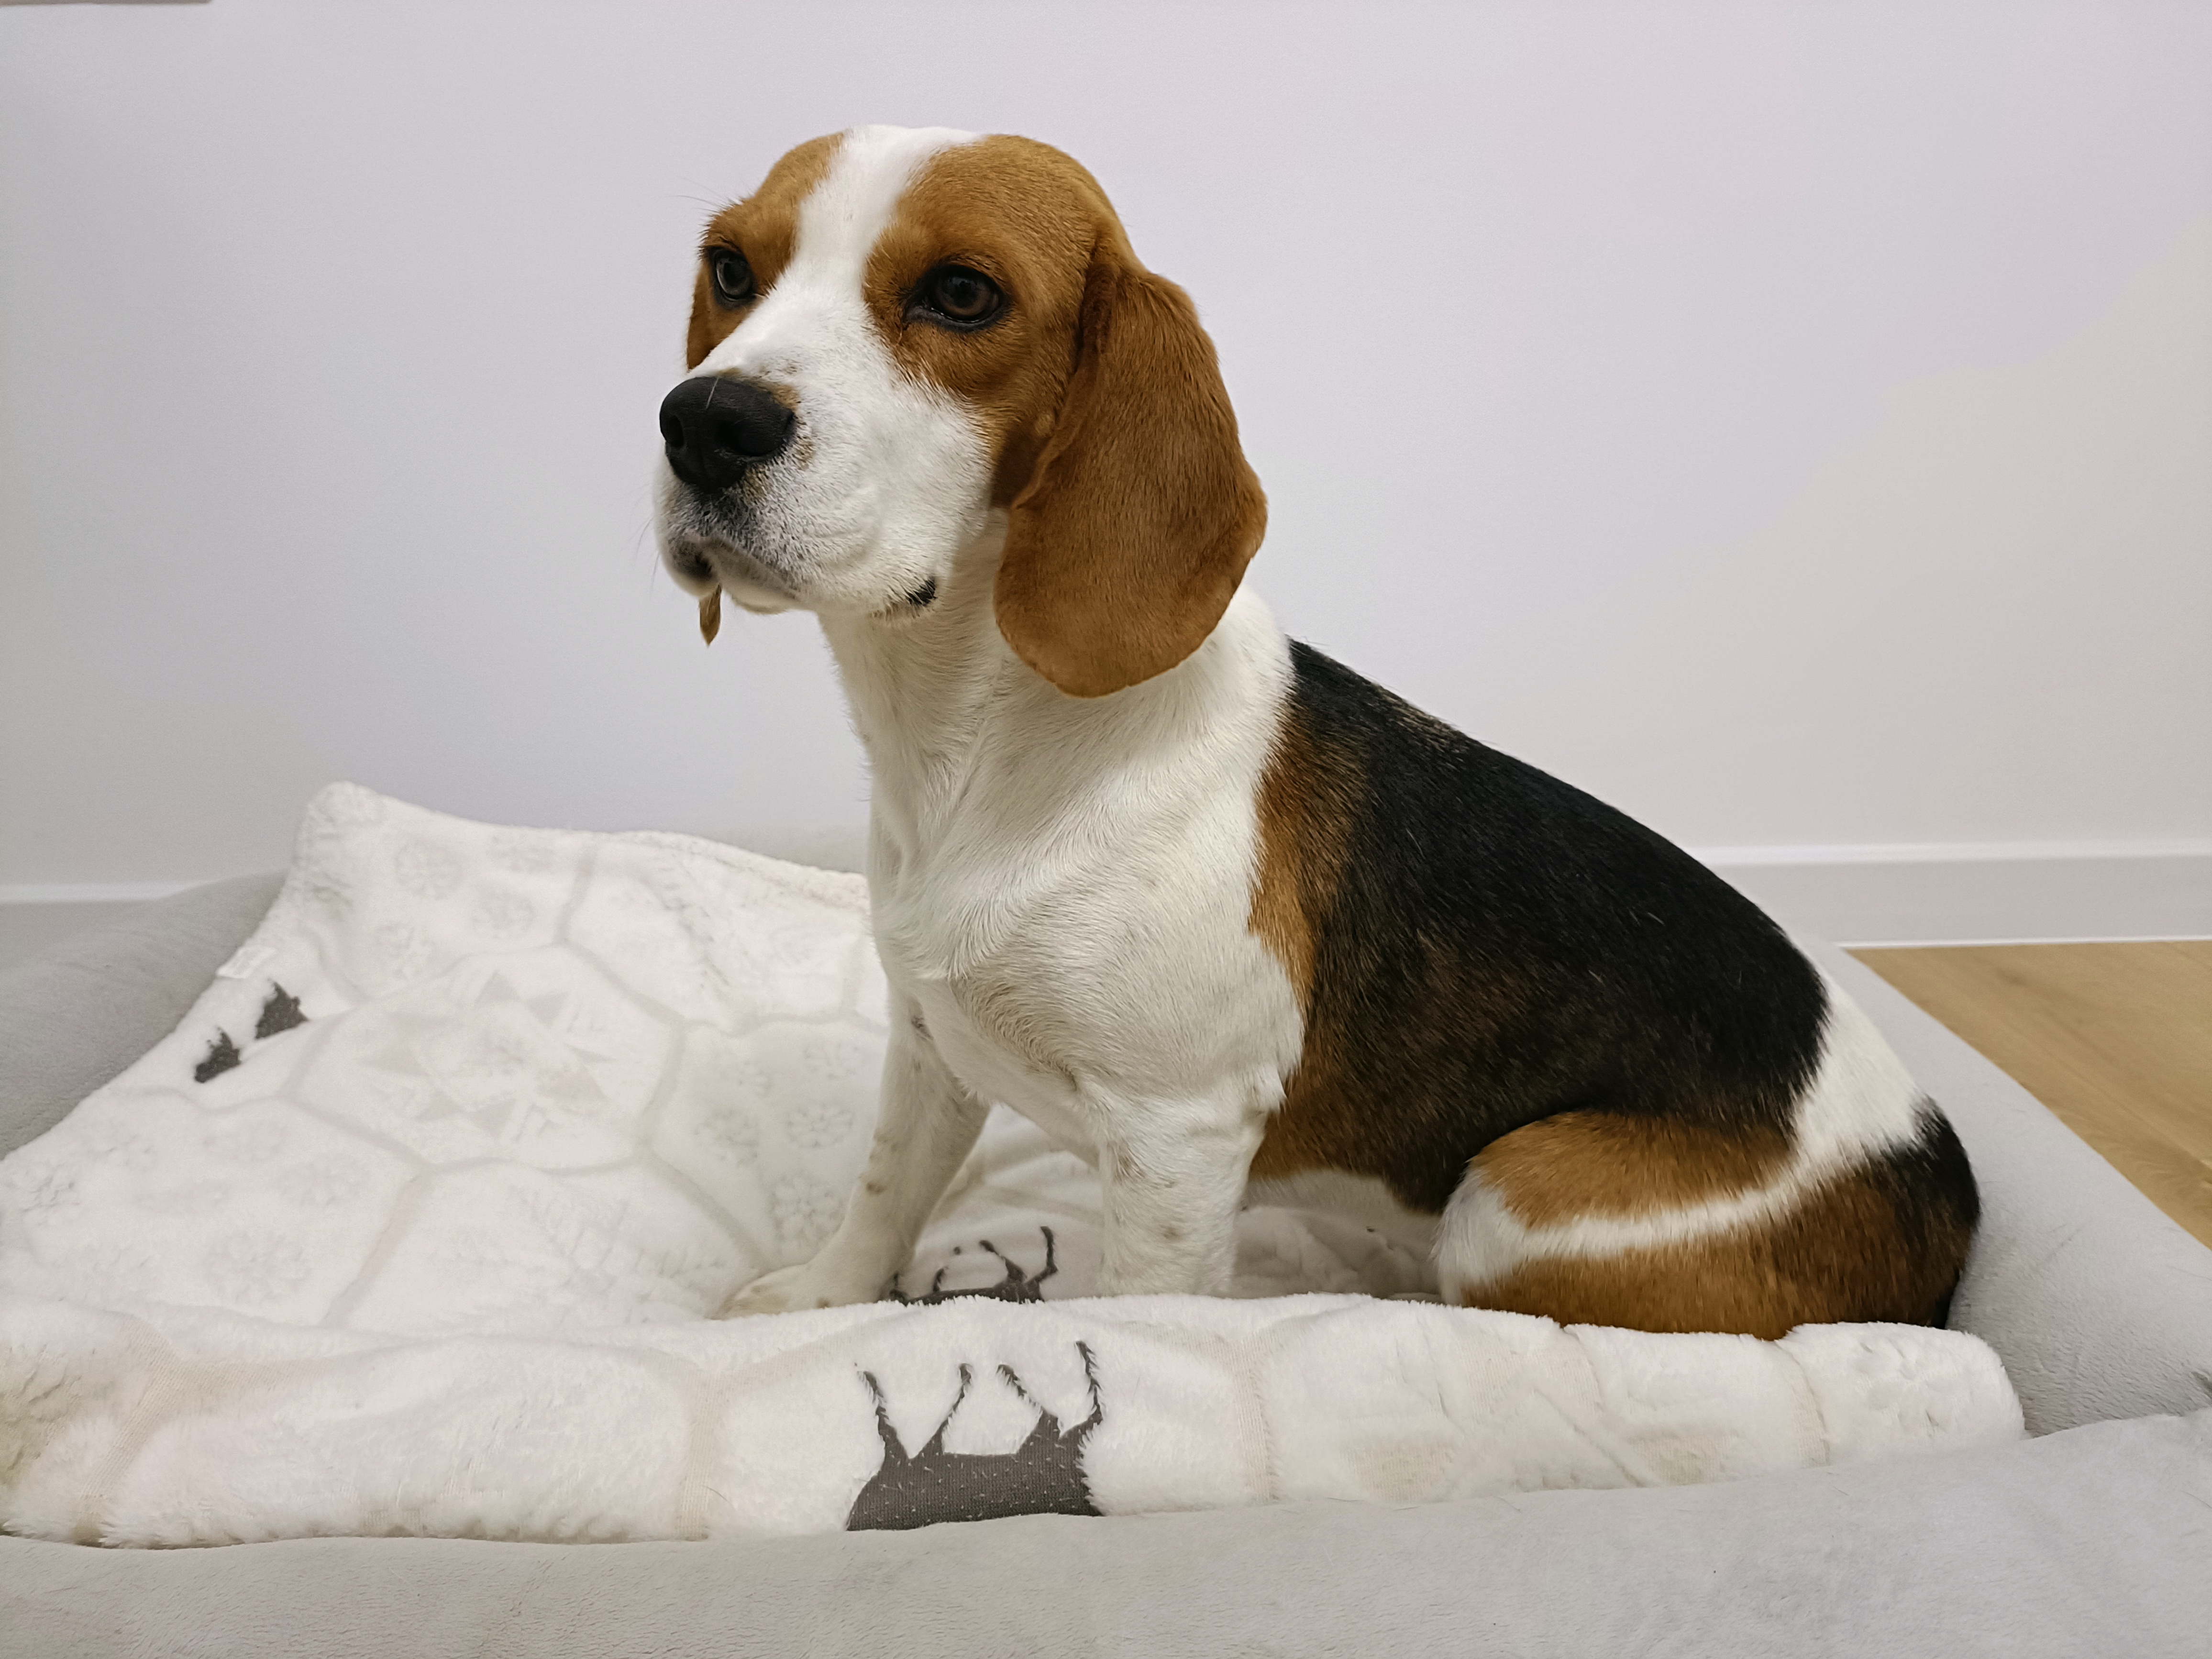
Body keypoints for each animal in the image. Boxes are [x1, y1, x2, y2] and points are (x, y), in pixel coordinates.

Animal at [653, 126, 1978, 1336]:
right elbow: (885, 1194)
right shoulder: (928, 1046)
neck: (977, 740)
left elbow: (1136, 1314)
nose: (703, 418)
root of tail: (1947, 1197)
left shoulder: (1176, 1131)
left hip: (1514, 1197)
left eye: (963, 294)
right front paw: (820, 1300)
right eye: (732, 269)